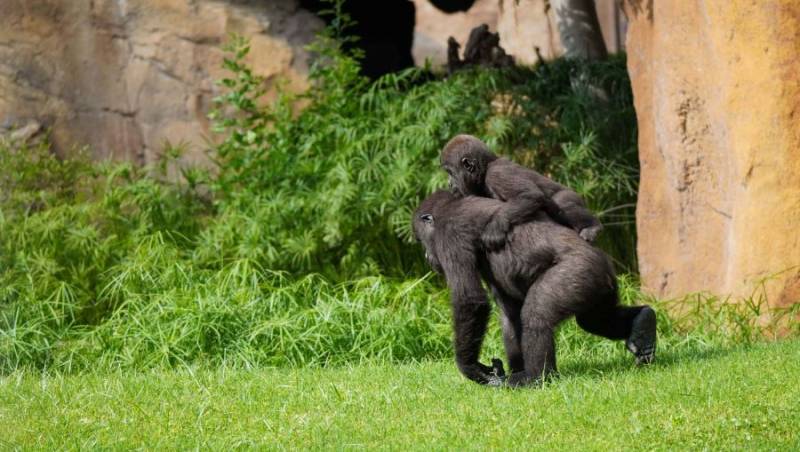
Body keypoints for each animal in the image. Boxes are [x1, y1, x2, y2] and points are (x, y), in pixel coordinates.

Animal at [412, 189, 656, 386]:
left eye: (421, 241)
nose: (425, 256)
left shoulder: (449, 235)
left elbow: (470, 300)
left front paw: (470, 367)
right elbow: (510, 312)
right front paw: (509, 369)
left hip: (581, 269)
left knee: (538, 314)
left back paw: (536, 377)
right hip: (601, 281)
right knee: (595, 319)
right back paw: (644, 324)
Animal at [440, 134, 604, 249]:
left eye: (450, 173)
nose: (449, 183)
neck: (486, 167)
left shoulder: (498, 174)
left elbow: (529, 195)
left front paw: (495, 227)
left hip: (571, 195)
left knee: (563, 205)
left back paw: (592, 226)